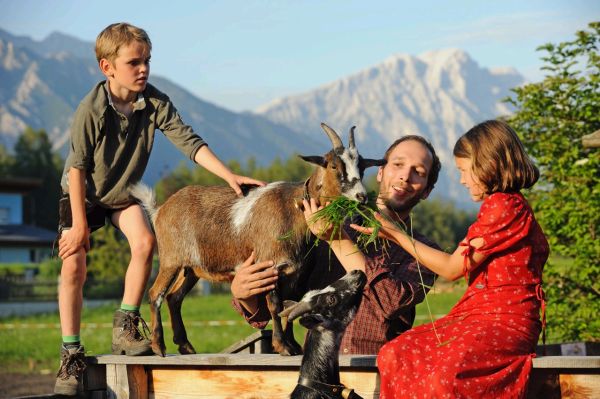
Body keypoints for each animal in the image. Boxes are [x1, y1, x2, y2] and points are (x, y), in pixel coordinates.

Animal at [131, 123, 384, 358]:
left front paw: (293, 345)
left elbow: (289, 306)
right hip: (171, 260)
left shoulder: (295, 273)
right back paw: (159, 346)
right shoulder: (270, 265)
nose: (361, 196)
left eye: (362, 167)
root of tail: (160, 210)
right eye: (333, 165)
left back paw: (185, 346)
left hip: (191, 269)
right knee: (156, 294)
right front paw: (282, 346)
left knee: (174, 297)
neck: (293, 210)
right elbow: (275, 305)